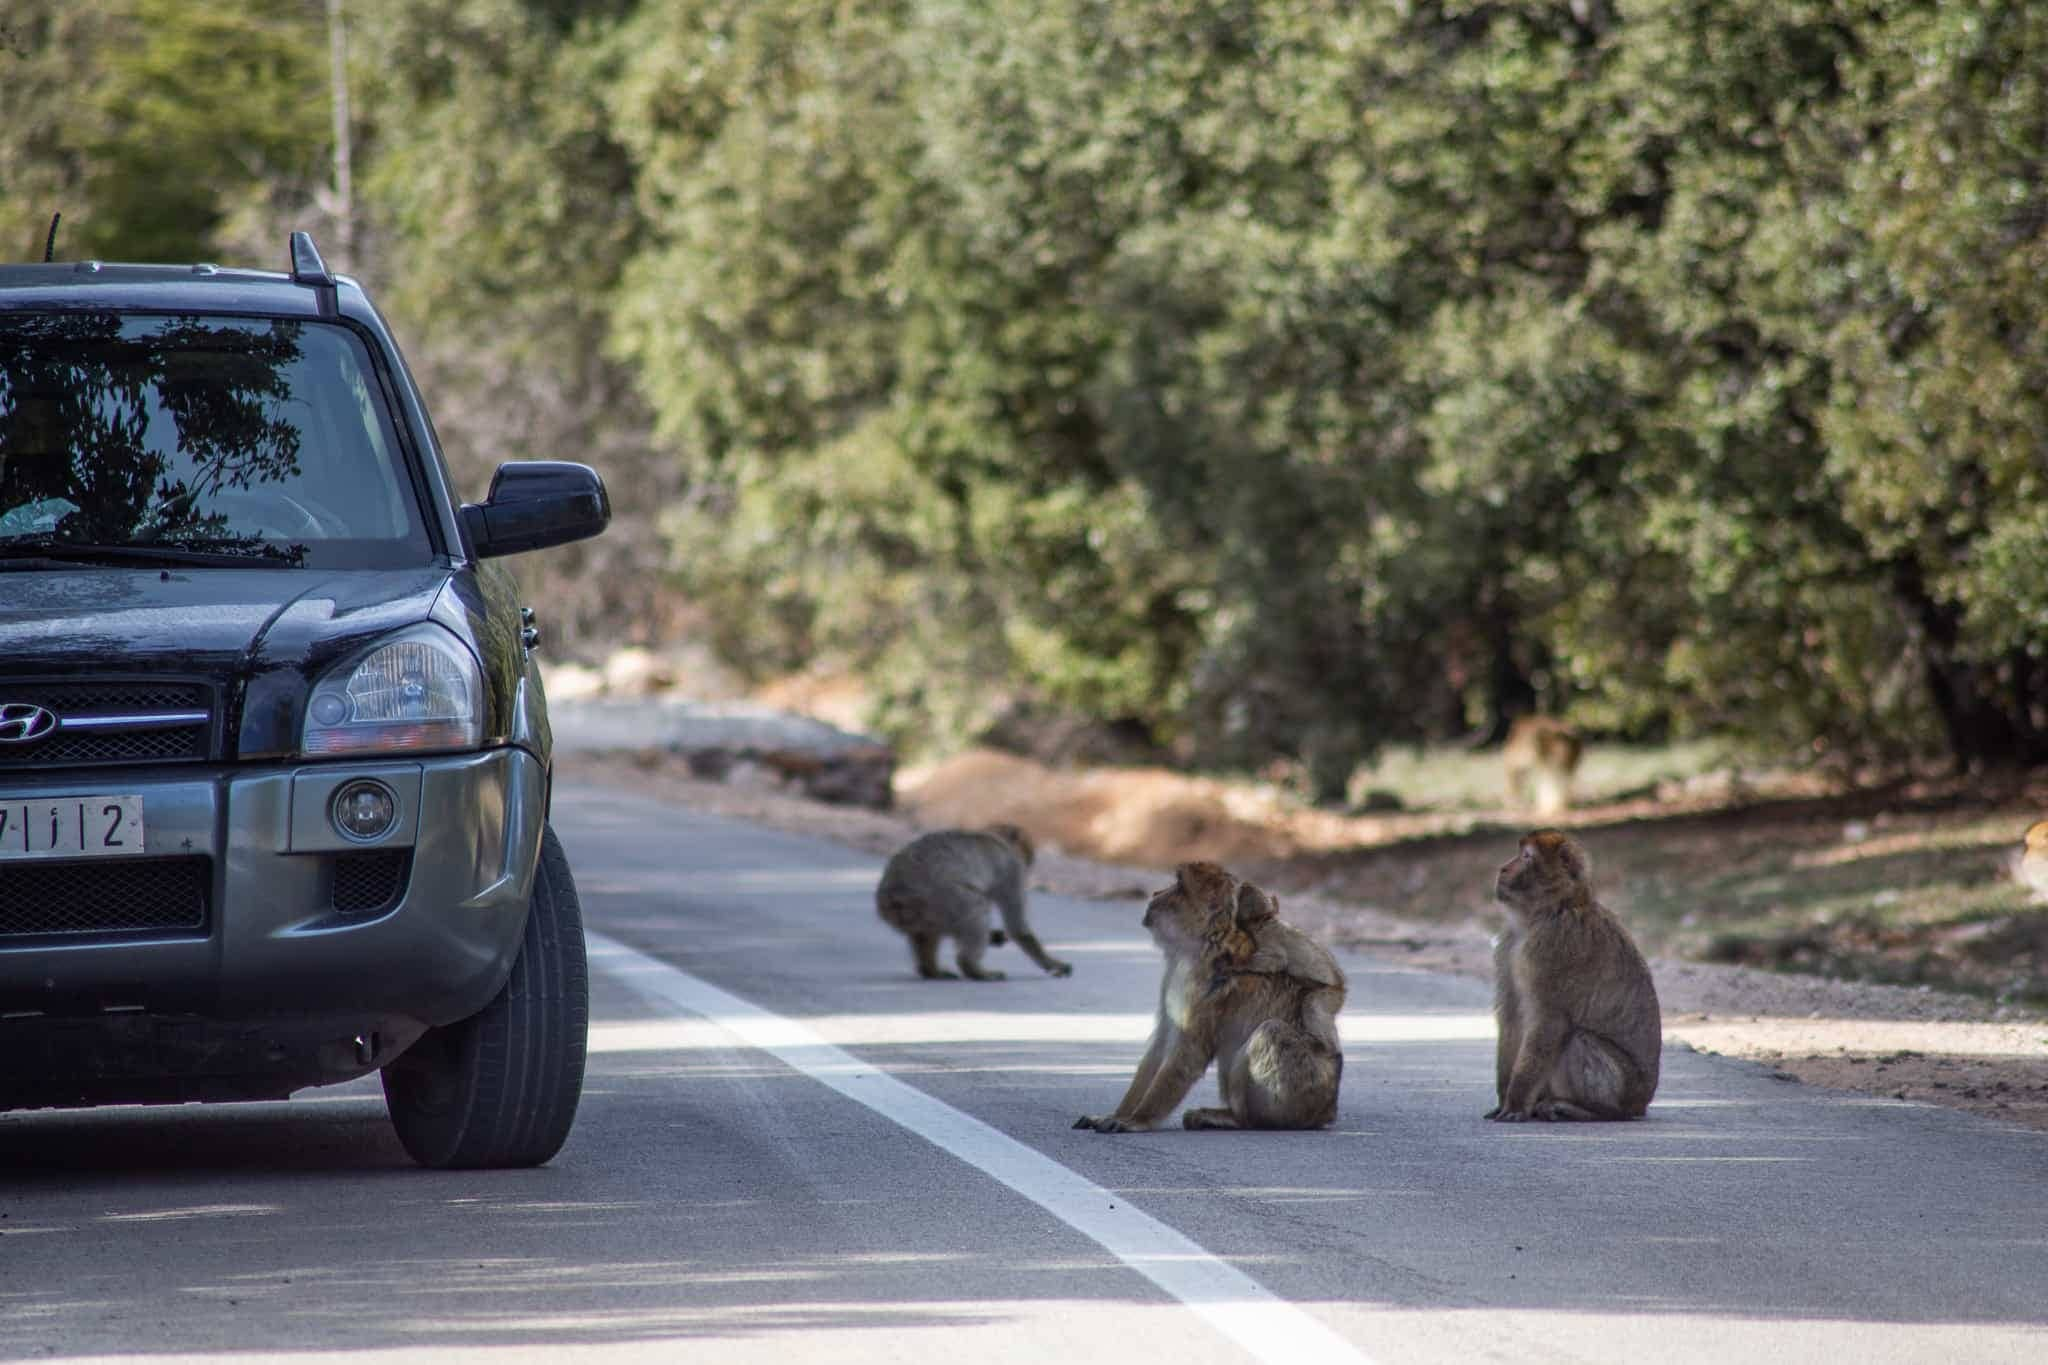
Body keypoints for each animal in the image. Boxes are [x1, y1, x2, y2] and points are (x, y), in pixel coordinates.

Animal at [876, 822, 1073, 982]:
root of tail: (894, 894)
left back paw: (931, 971)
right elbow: (1018, 929)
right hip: (940, 900)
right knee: (975, 908)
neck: (994, 837)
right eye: (1027, 852)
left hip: (921, 912)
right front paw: (1054, 964)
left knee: (926, 934)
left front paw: (995, 936)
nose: (1029, 862)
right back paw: (974, 969)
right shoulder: (1012, 870)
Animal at [1490, 826, 1662, 1129]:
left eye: (1526, 856)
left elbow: (1550, 1021)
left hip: (1624, 1087)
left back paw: (1588, 1110)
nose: (1503, 868)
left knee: (1578, 1039)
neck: (1547, 912)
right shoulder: (1510, 945)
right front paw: (1503, 1099)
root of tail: (1642, 1103)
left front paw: (1516, 1102)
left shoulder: (1553, 946)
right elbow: (1511, 1017)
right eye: (1519, 853)